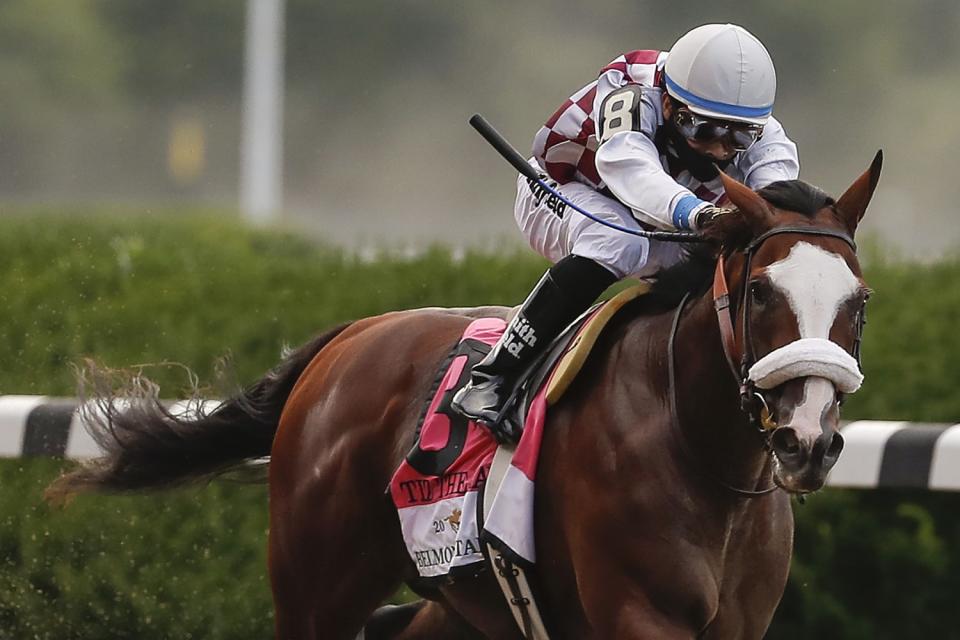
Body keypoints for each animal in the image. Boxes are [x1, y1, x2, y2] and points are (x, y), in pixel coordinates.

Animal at [47, 152, 884, 636]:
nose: (808, 441)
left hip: (462, 604)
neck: (700, 454)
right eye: (762, 292)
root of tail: (347, 338)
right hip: (315, 587)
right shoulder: (640, 614)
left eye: (860, 300)